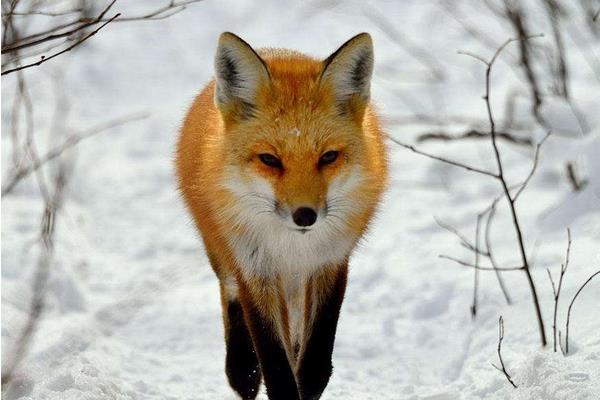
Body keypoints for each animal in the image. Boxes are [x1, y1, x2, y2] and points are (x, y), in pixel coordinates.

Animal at [176, 32, 386, 400]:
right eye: (270, 160)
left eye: (328, 157)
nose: (305, 216)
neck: (292, 249)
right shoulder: (255, 269)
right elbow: (275, 361)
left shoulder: (330, 261)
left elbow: (316, 355)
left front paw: (309, 382)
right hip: (225, 257)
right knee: (231, 299)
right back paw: (242, 370)